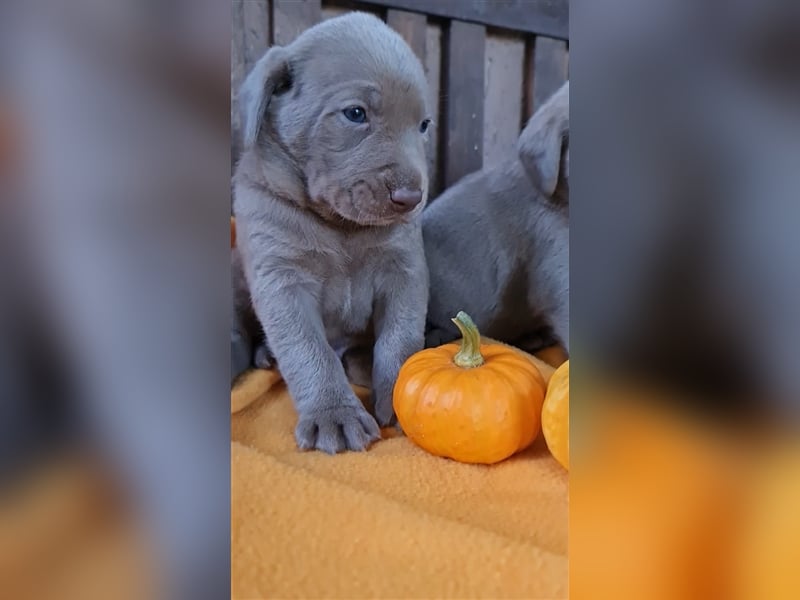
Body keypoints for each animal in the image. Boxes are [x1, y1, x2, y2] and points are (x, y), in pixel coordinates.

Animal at [231, 12, 432, 454]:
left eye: (424, 125)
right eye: (355, 114)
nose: (411, 198)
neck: (341, 226)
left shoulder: (404, 271)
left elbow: (401, 337)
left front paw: (399, 396)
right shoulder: (282, 279)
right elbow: (309, 350)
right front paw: (334, 414)